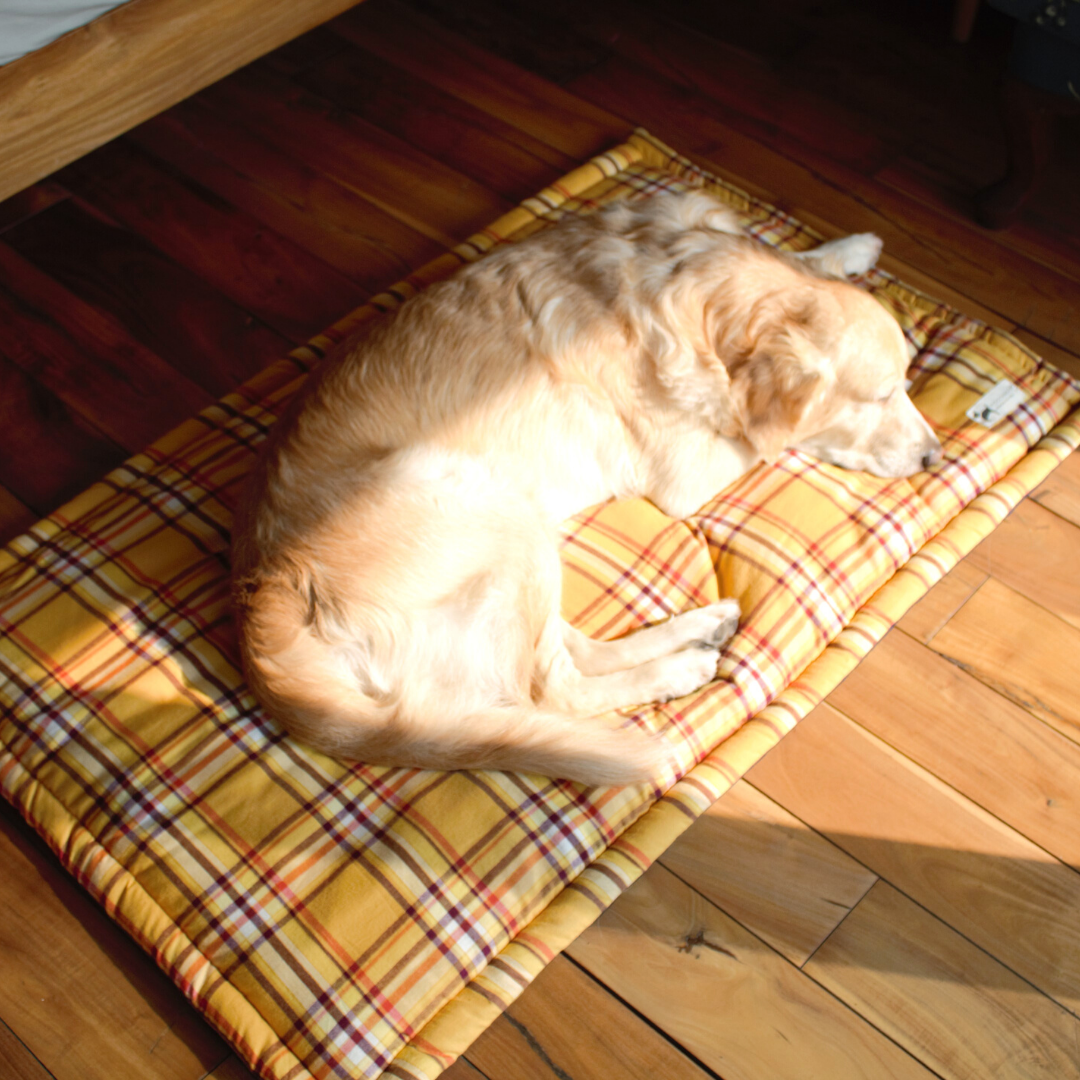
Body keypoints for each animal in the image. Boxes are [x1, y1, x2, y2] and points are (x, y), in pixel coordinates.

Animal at [232, 192, 941, 786]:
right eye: (882, 396)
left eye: (910, 381)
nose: (936, 454)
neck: (698, 298)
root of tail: (265, 595)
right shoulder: (687, 474)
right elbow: (771, 441)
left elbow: (788, 251)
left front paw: (848, 247)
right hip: (490, 506)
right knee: (551, 689)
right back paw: (680, 668)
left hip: (515, 554)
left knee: (570, 653)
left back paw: (701, 628)